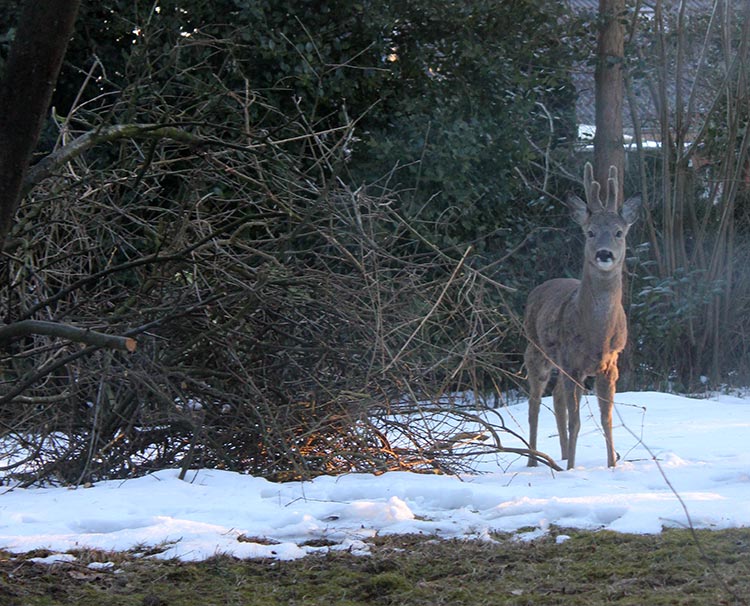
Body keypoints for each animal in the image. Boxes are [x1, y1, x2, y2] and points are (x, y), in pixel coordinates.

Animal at [524, 164, 644, 472]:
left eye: (619, 232)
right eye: (590, 232)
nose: (604, 254)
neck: (596, 335)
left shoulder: (610, 365)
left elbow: (606, 419)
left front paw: (612, 466)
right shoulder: (572, 363)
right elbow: (576, 421)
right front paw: (571, 472)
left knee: (556, 399)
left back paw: (564, 455)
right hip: (536, 350)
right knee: (534, 404)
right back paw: (533, 461)